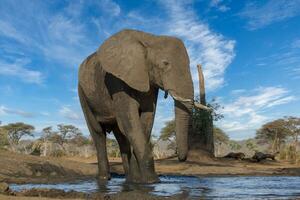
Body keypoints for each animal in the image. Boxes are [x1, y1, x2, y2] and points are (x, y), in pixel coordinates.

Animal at [77, 28, 205, 184]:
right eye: (165, 63)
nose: (180, 158)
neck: (150, 39)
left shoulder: (150, 83)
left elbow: (146, 120)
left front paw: (139, 180)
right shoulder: (116, 80)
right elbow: (129, 122)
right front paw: (152, 181)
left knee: (121, 137)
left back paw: (129, 179)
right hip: (83, 94)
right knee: (98, 133)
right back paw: (103, 179)